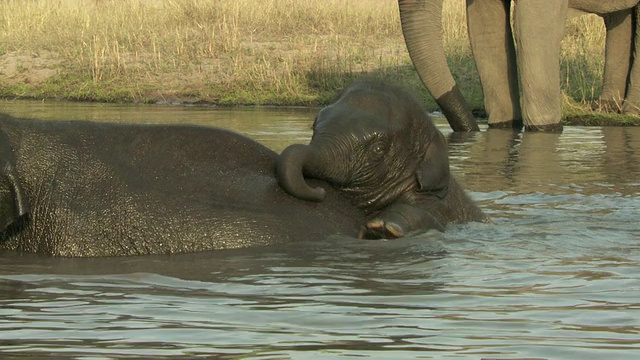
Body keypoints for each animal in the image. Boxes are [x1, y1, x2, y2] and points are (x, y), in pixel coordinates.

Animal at [400, 0, 640, 132]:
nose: (472, 130)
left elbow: (532, 26)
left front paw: (544, 128)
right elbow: (485, 27)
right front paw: (504, 125)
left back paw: (629, 113)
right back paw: (608, 108)